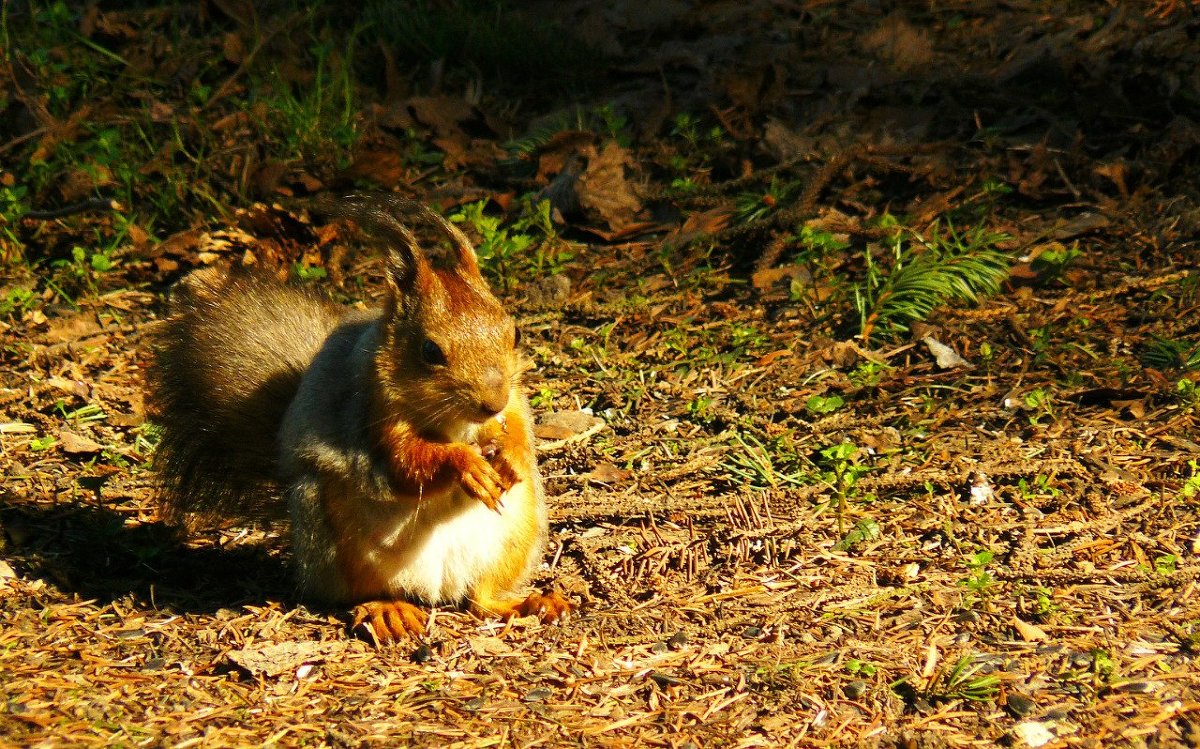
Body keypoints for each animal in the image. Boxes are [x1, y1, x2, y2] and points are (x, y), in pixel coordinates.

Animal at [148, 194, 571, 643]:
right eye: (430, 351)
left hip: (521, 532)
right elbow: (406, 465)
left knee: (482, 599)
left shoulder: (514, 403)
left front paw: (510, 456)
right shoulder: (372, 415)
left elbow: (519, 430)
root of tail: (435, 589)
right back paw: (388, 609)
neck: (457, 422)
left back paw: (529, 602)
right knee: (359, 592)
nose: (492, 403)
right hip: (332, 534)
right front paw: (465, 464)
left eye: (515, 334)